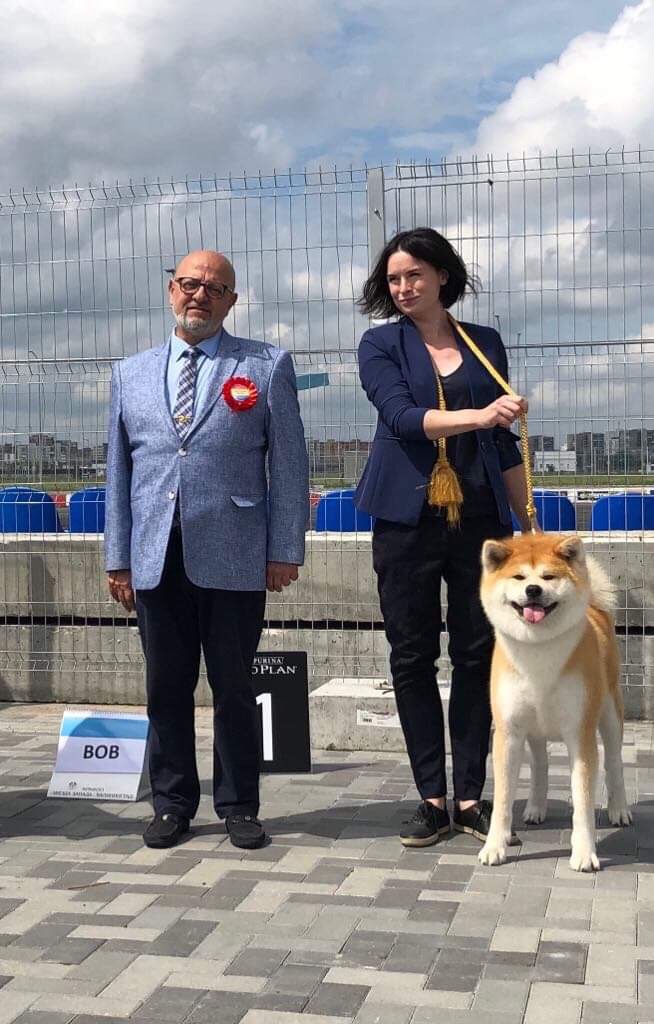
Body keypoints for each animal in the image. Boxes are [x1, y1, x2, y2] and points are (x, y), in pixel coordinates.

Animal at [477, 533, 632, 872]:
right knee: (540, 765)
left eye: (548, 577)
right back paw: (535, 807)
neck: (539, 651)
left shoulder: (580, 733)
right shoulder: (508, 733)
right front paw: (495, 846)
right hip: (534, 727)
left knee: (615, 763)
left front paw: (585, 853)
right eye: (519, 578)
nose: (533, 590)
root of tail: (595, 608)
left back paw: (619, 809)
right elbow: (503, 799)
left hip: (610, 714)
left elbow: (583, 801)